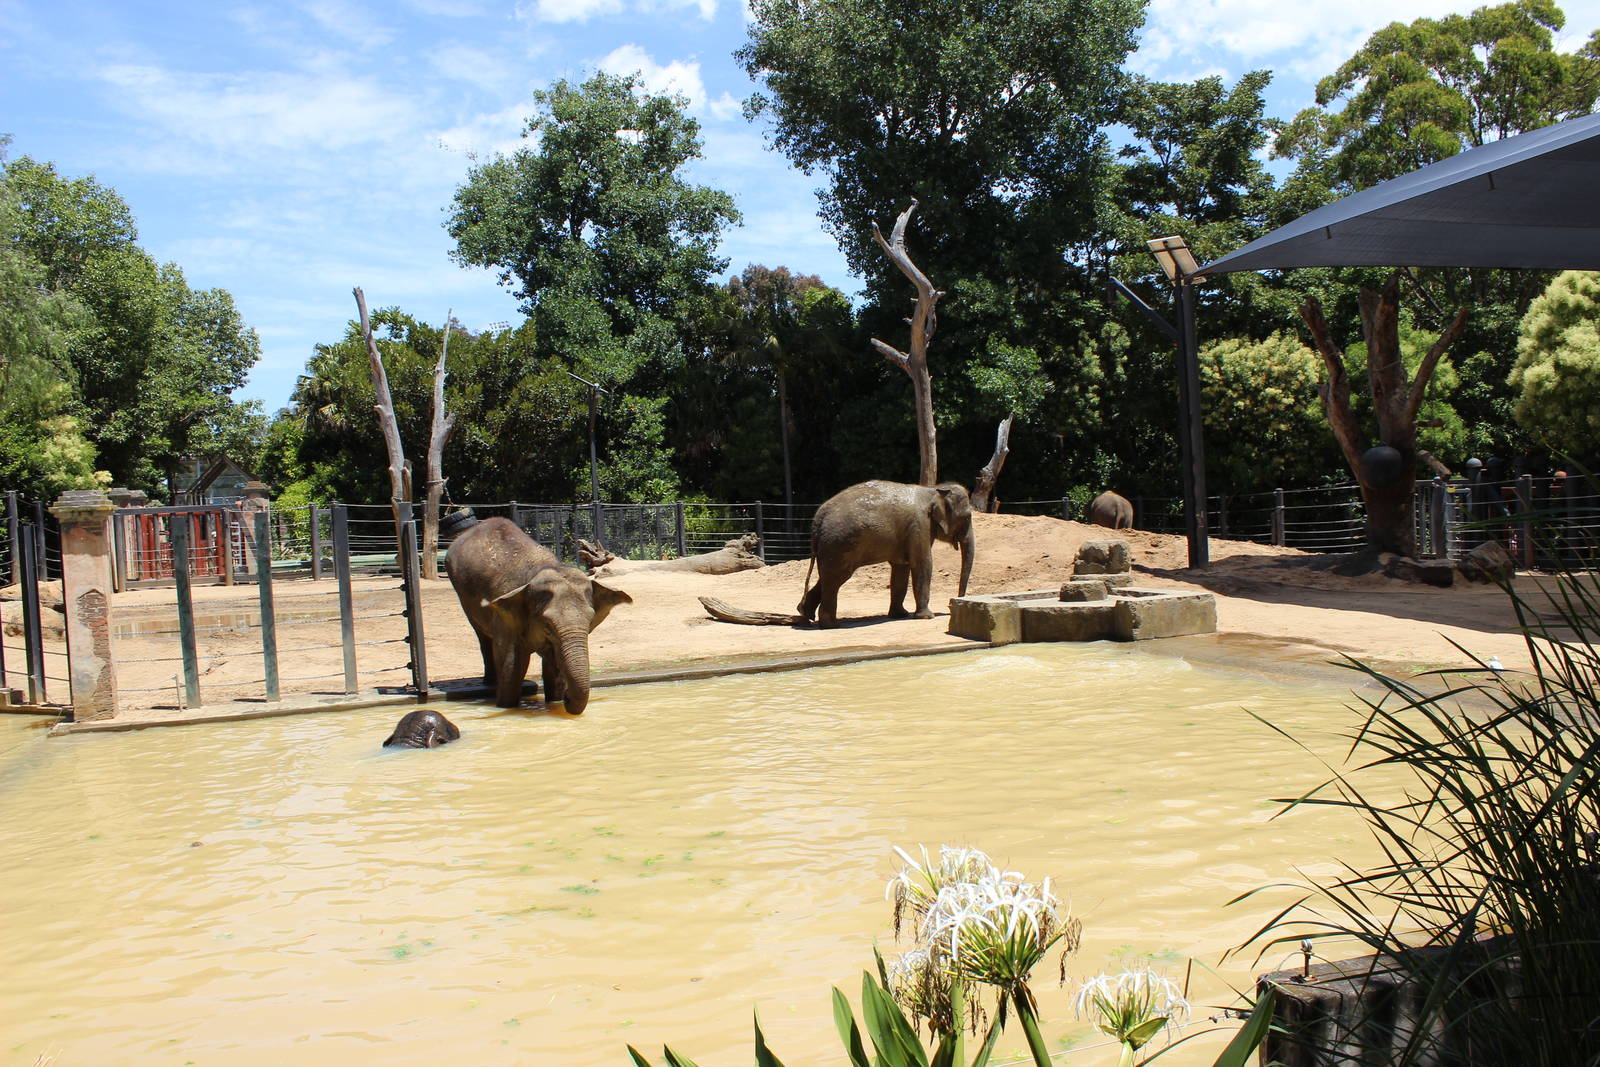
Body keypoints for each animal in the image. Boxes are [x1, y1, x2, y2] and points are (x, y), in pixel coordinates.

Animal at [446, 517, 631, 713]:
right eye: (547, 625)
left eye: (590, 622)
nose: (567, 698)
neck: (545, 568)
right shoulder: (505, 618)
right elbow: (512, 665)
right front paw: (506, 708)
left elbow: (554, 664)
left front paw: (554, 702)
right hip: (461, 593)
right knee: (481, 635)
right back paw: (489, 681)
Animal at [797, 480, 975, 628]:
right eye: (967, 517)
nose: (952, 603)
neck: (933, 490)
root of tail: (818, 518)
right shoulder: (920, 526)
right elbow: (923, 564)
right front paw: (927, 617)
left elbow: (901, 569)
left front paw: (900, 615)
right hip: (839, 544)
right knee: (835, 579)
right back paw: (831, 625)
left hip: (830, 547)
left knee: (827, 577)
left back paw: (805, 614)